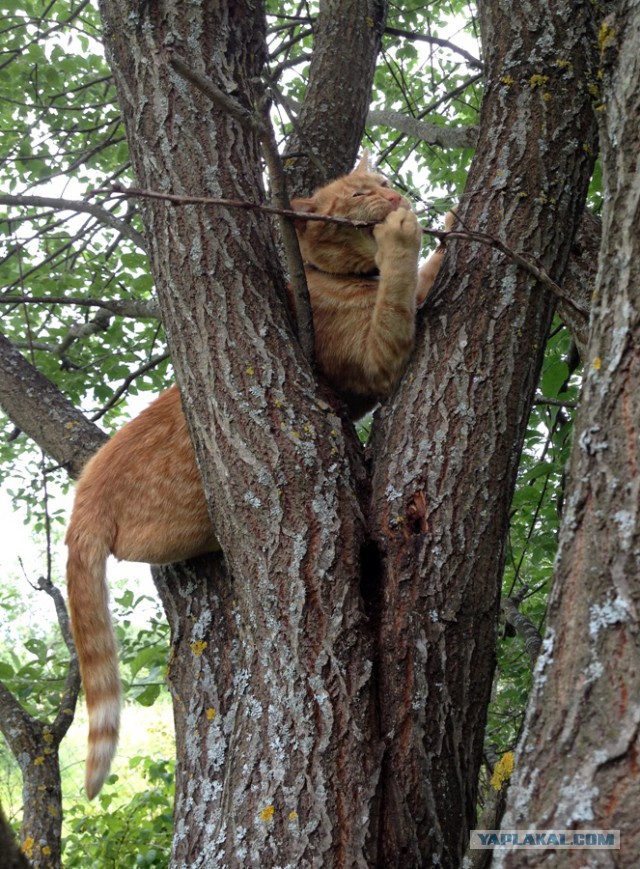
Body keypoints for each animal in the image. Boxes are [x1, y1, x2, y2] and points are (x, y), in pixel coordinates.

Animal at [65, 153, 444, 796]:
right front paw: (410, 239)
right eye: (361, 193)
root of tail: (83, 501)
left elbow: (422, 280)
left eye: (382, 179)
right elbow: (404, 288)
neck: (340, 278)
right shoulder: (377, 362)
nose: (395, 195)